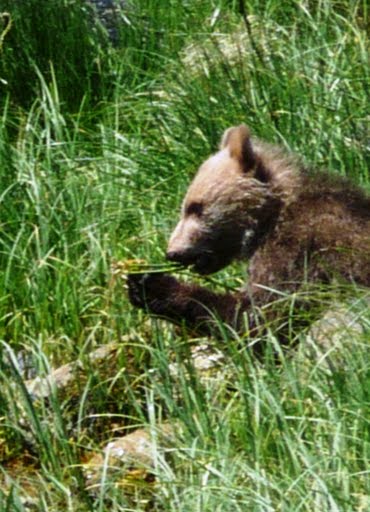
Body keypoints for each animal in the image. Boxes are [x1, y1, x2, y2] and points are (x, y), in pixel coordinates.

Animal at [127, 123, 370, 340]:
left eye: (195, 207)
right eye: (187, 207)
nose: (172, 252)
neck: (270, 218)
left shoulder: (297, 251)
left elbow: (259, 316)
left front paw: (150, 284)